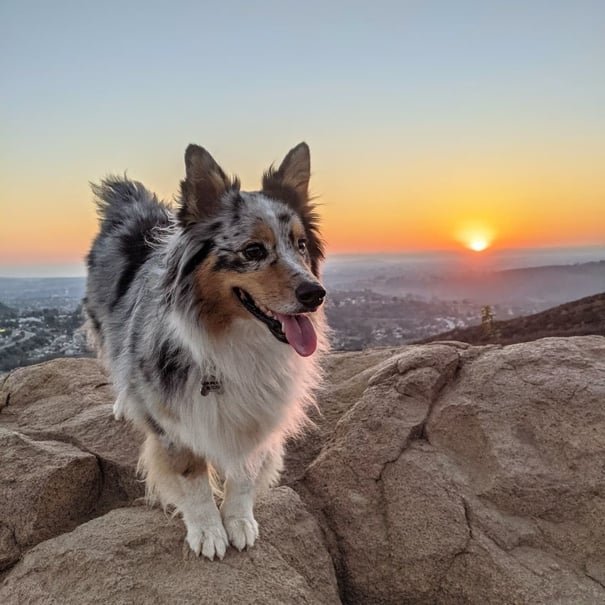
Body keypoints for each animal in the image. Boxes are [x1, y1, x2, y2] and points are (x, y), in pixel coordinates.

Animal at [85, 142, 326, 556]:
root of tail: (131, 205)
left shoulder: (258, 414)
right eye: (253, 250)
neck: (236, 339)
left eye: (301, 244)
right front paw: (208, 532)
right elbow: (192, 478)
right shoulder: (172, 422)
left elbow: (244, 472)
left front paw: (239, 522)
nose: (315, 294)